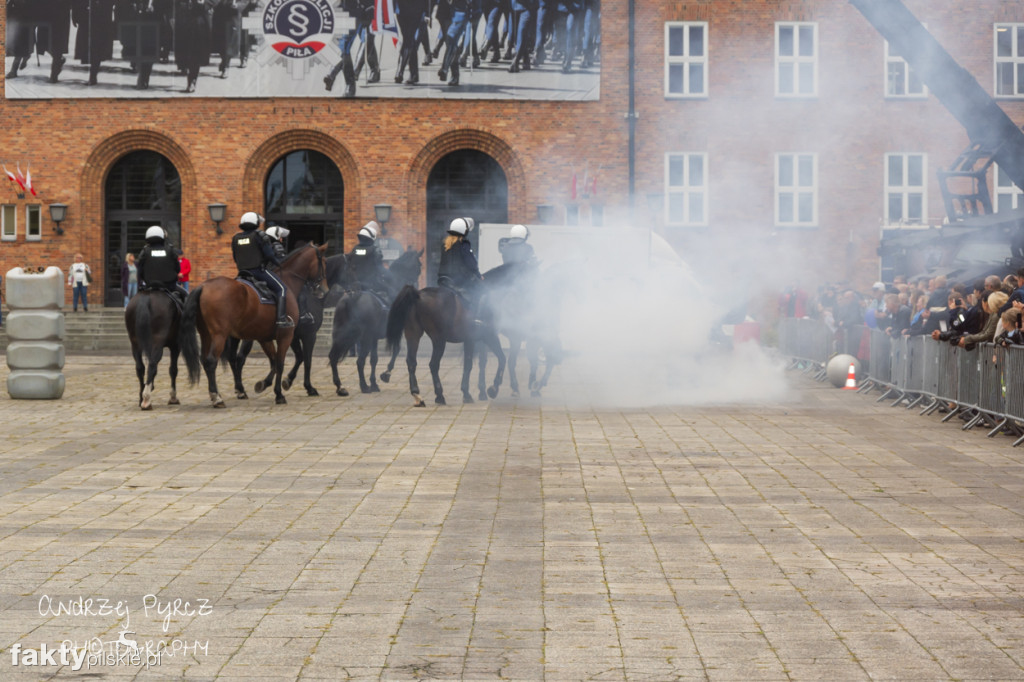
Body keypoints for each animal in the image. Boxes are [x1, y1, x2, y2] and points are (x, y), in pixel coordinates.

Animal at [180, 242, 327, 403]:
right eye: (323, 263)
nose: (324, 290)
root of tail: (204, 286)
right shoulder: (289, 335)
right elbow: (286, 362)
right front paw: (281, 393)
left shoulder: (265, 337)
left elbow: (276, 361)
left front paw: (265, 384)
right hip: (220, 335)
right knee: (213, 360)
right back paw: (217, 397)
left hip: (210, 334)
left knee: (217, 360)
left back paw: (237, 391)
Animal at [329, 245, 421, 393]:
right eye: (419, 266)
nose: (416, 285)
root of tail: (352, 297)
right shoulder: (394, 332)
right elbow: (396, 350)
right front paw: (386, 374)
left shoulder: (374, 338)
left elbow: (374, 359)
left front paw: (374, 383)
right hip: (363, 338)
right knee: (360, 361)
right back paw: (363, 386)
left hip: (342, 335)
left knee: (333, 357)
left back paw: (340, 386)